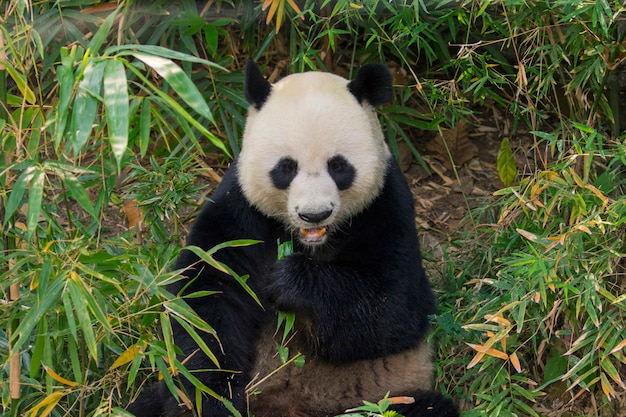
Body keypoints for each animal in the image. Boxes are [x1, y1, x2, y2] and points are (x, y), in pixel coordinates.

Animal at [128, 59, 458, 416]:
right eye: (286, 167)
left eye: (338, 166)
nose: (315, 214)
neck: (309, 241)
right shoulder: (241, 210)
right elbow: (207, 300)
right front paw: (215, 398)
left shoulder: (385, 206)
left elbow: (394, 306)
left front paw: (290, 280)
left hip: (380, 398)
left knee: (424, 408)